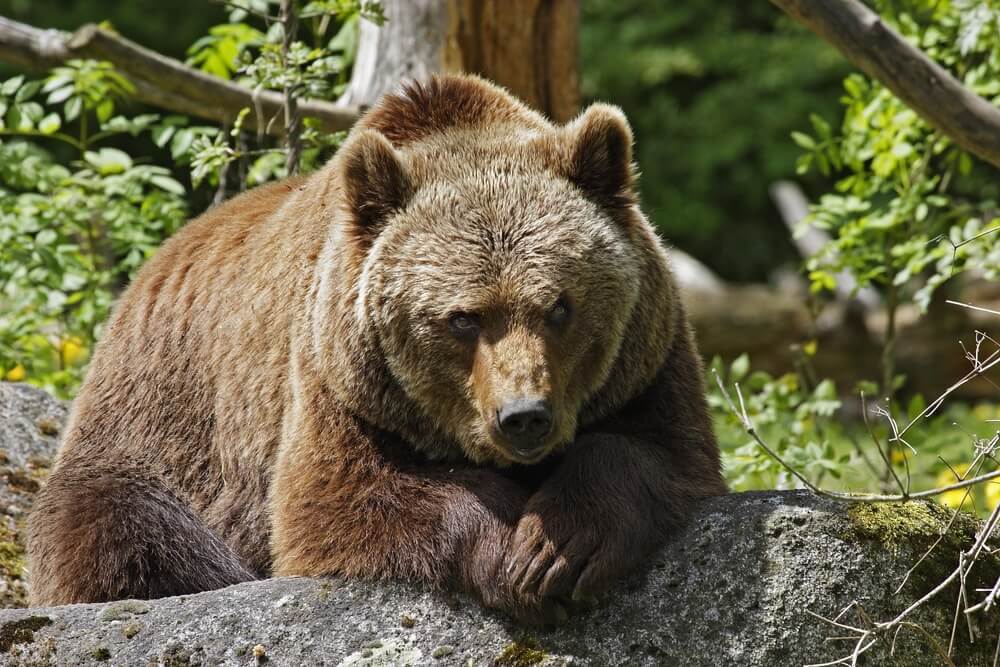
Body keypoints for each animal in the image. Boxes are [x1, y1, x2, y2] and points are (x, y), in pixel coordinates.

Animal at [27, 75, 726, 621]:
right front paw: (511, 551)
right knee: (116, 526)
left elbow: (660, 453)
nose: (524, 416)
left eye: (559, 306)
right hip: (157, 427)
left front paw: (557, 548)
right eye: (463, 319)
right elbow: (336, 504)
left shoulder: (647, 357)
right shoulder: (334, 379)